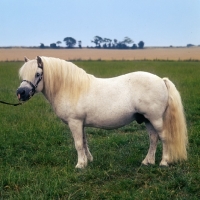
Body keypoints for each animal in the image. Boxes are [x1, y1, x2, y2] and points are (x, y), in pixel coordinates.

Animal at [16, 56, 188, 169]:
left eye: (38, 74)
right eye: (23, 75)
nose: (20, 93)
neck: (71, 88)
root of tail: (161, 80)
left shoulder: (75, 122)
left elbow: (78, 144)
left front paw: (80, 165)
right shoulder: (81, 124)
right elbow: (84, 142)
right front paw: (88, 160)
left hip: (156, 119)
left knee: (163, 137)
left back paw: (164, 162)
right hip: (147, 119)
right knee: (153, 138)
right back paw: (147, 161)